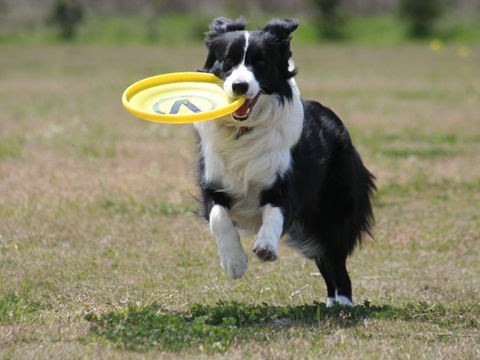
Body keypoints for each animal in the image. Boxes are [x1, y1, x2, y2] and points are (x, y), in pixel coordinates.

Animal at [194, 17, 376, 306]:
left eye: (260, 62)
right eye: (227, 61)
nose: (239, 86)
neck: (243, 130)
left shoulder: (285, 181)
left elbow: (274, 212)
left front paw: (266, 246)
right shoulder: (213, 180)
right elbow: (219, 217)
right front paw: (234, 262)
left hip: (334, 207)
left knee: (335, 260)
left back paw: (344, 305)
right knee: (325, 262)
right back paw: (331, 304)